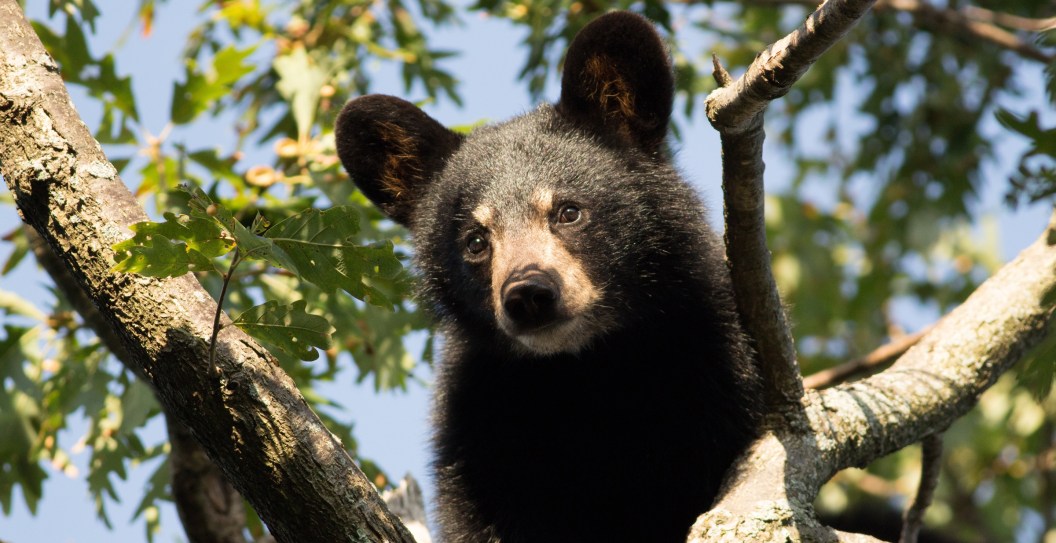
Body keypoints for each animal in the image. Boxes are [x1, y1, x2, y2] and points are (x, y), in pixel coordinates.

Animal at [335, 11, 762, 543]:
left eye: (568, 211)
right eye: (476, 241)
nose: (529, 295)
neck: (584, 372)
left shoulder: (715, 374)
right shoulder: (477, 435)